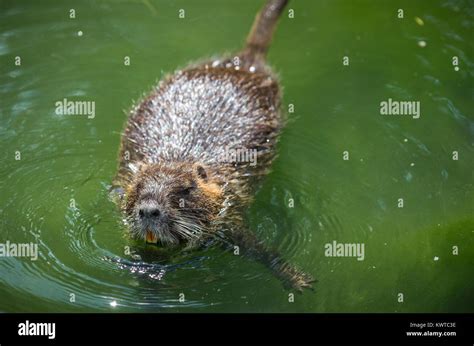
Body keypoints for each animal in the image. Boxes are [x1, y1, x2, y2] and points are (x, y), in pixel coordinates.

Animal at [113, 0, 314, 292]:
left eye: (186, 190)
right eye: (138, 187)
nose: (149, 210)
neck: (179, 156)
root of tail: (247, 59)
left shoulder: (231, 209)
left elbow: (257, 247)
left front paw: (298, 279)